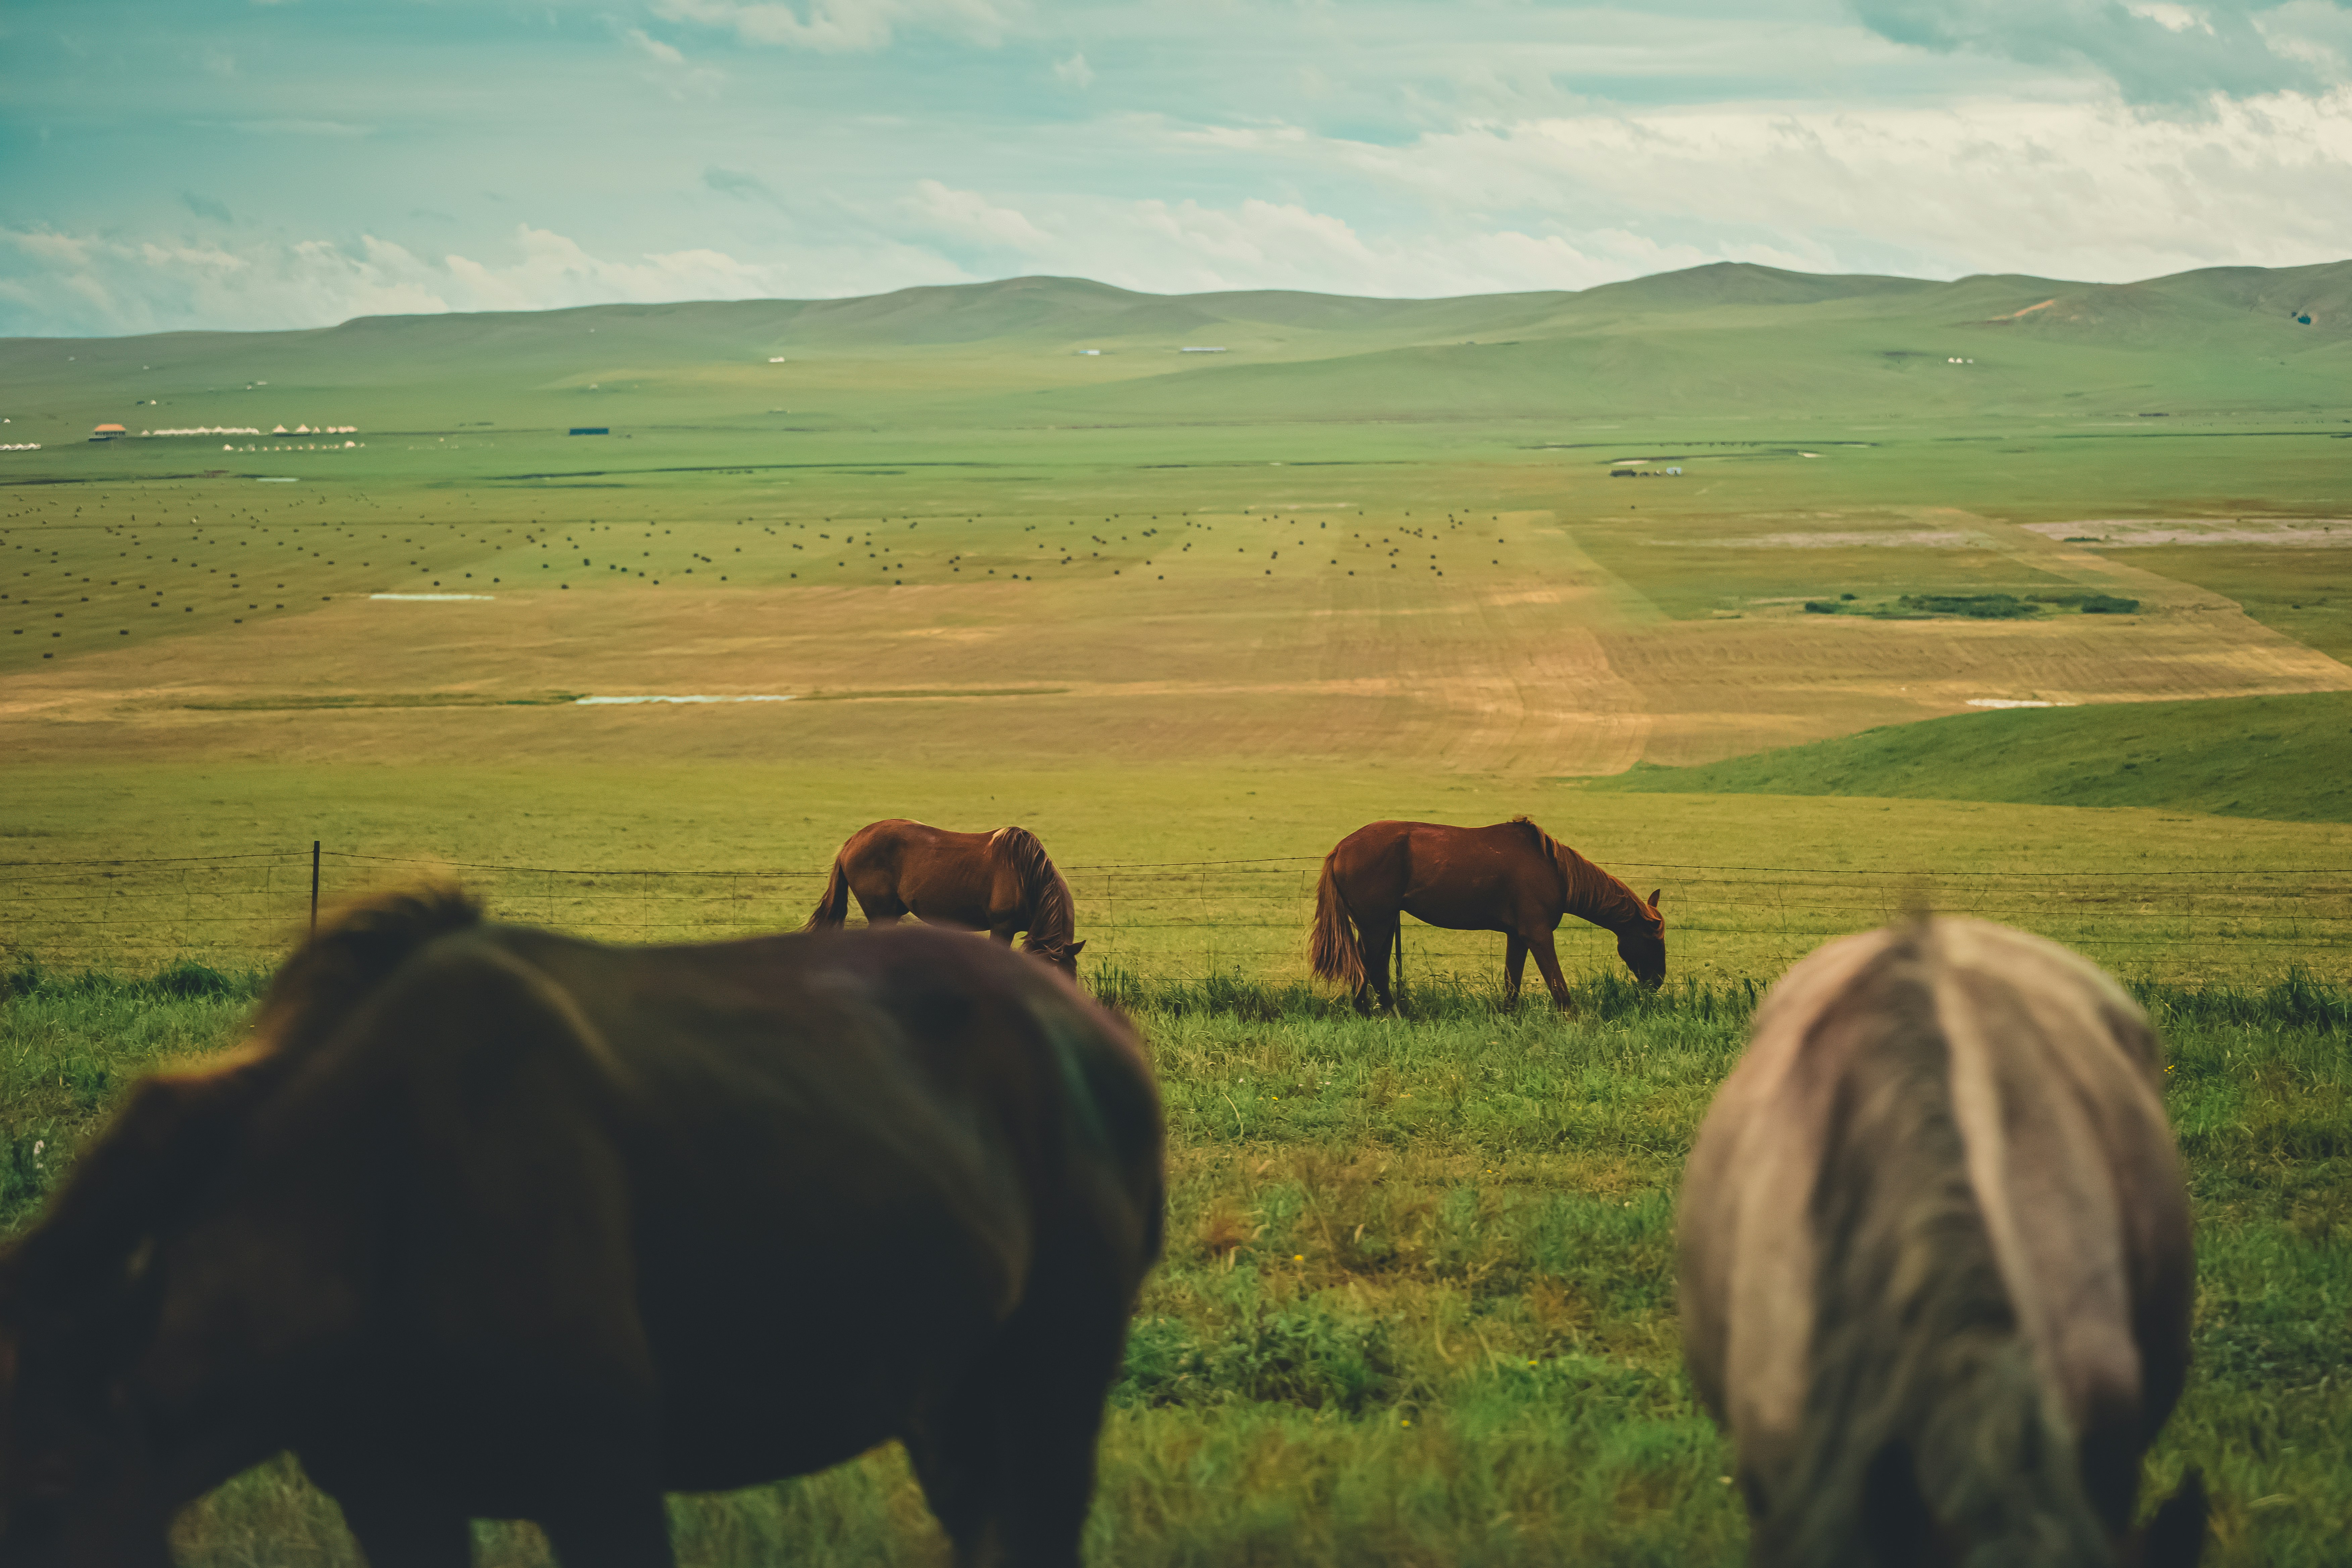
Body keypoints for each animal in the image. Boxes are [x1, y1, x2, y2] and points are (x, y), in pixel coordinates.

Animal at [0, 888, 1163, 1568]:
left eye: (53, 1488)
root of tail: (1097, 1039)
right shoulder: (392, 1496)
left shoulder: (603, 1476)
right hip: (948, 1394)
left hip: (1053, 1383)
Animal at [1308, 816, 1663, 1012]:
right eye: (1653, 940)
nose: (1658, 982)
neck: (1553, 870)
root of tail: (1341, 848)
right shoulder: (1538, 935)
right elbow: (1558, 987)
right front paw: (1574, 1022)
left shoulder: (1518, 937)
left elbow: (1512, 985)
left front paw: (1508, 1019)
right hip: (1376, 925)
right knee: (1369, 968)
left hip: (1379, 925)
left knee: (1374, 969)